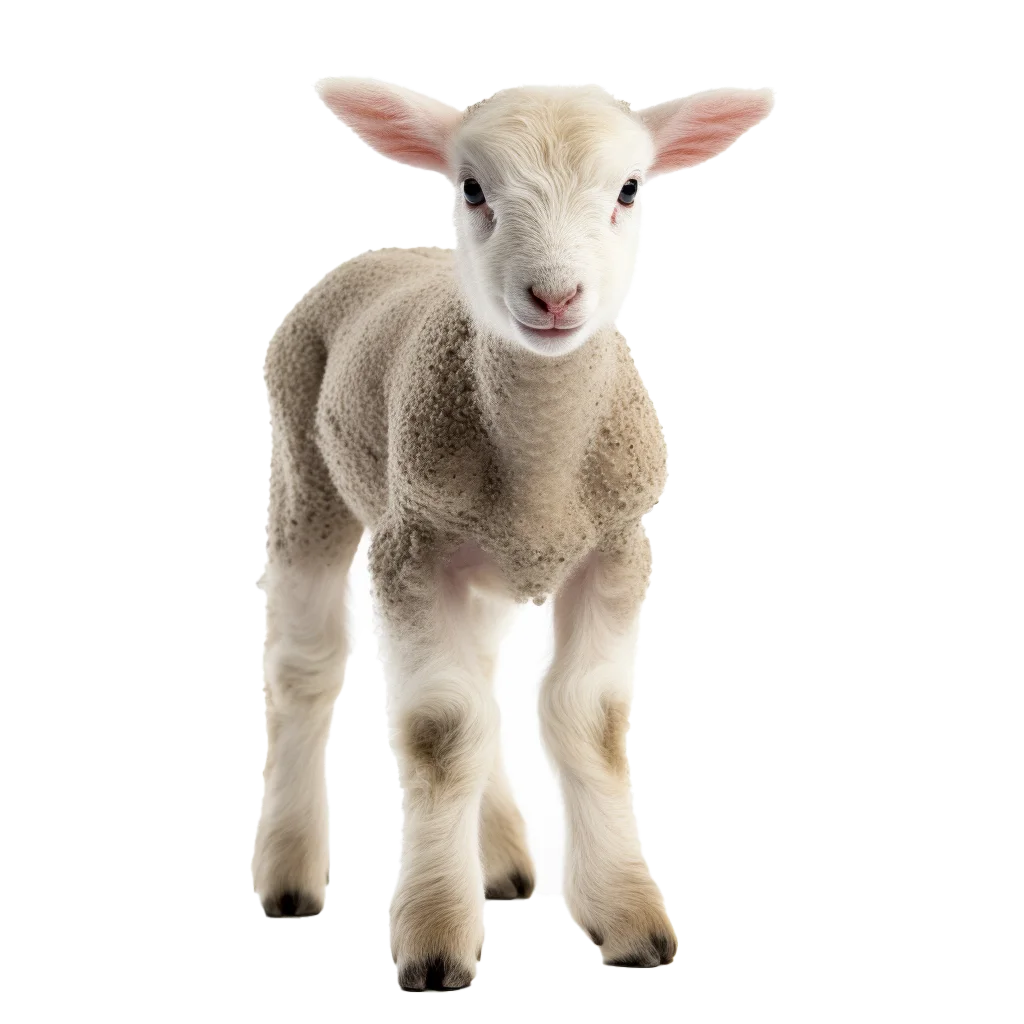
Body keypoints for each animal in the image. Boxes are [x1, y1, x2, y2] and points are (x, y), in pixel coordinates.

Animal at [252, 76, 775, 985]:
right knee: (302, 668)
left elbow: (588, 719)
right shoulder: (412, 552)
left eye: (629, 189)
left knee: (484, 676)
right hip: (305, 477)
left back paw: (495, 862)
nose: (556, 297)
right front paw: (433, 936)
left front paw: (629, 919)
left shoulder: (618, 549)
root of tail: (381, 253)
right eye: (472, 189)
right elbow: (440, 729)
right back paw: (288, 876)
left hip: (479, 560)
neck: (541, 467)